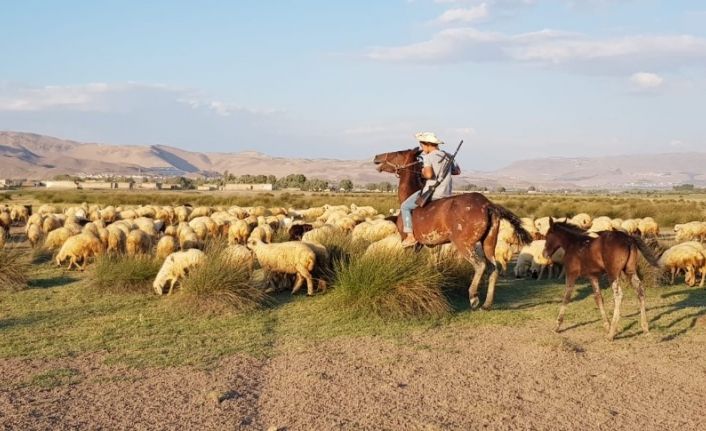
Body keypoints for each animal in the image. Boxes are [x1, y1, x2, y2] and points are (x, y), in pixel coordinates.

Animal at [374, 148, 528, 310]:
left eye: (397, 153)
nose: (376, 157)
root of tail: (488, 205)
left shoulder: (408, 241)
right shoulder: (422, 245)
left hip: (464, 244)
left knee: (480, 265)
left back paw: (473, 297)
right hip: (489, 243)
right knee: (493, 269)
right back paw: (487, 304)